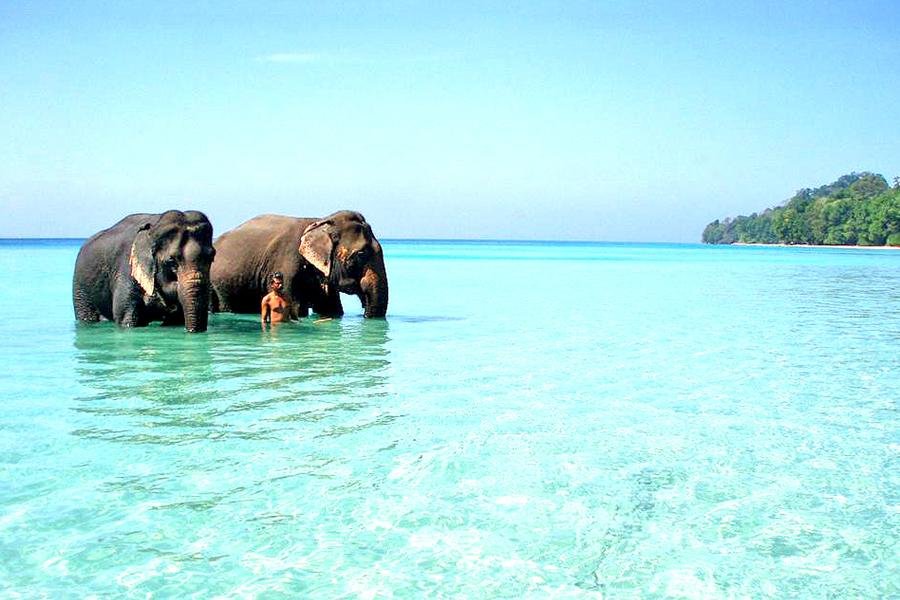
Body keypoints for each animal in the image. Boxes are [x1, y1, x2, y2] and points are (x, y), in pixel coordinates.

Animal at [73, 210, 215, 332]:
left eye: (211, 257)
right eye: (171, 261)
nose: (193, 332)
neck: (155, 225)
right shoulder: (126, 271)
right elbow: (126, 318)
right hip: (81, 290)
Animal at [210, 210, 388, 319]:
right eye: (361, 254)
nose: (364, 314)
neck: (320, 223)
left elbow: (331, 308)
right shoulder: (287, 266)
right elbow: (295, 308)